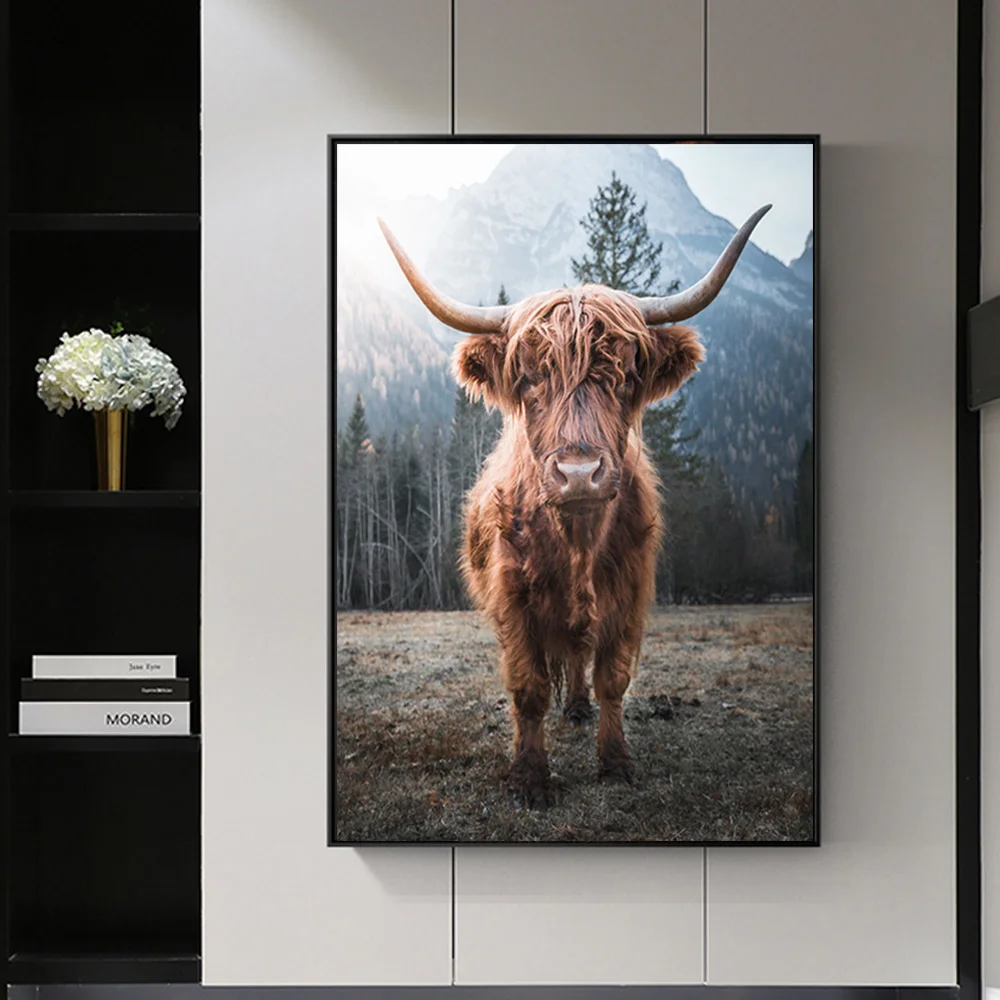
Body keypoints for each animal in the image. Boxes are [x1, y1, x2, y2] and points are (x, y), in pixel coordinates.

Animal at [378, 206, 770, 808]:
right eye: (529, 378)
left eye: (625, 376)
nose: (579, 473)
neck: (577, 541)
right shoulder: (511, 598)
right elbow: (529, 688)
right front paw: (530, 777)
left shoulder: (629, 591)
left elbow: (612, 678)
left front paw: (615, 763)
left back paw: (580, 708)